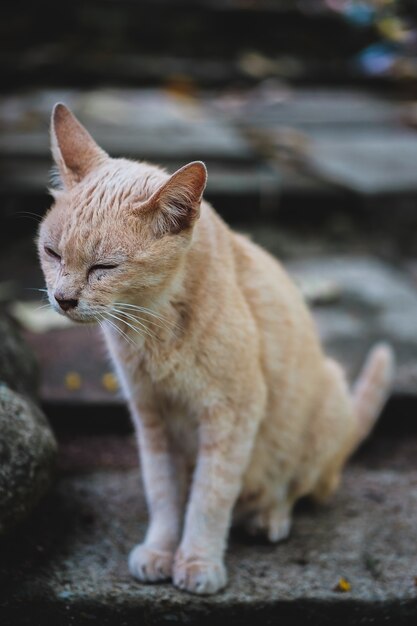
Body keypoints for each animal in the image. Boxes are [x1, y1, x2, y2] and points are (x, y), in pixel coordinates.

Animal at [38, 103, 394, 596]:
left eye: (103, 267)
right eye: (52, 253)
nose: (63, 298)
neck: (153, 326)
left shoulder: (233, 412)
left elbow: (209, 497)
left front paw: (197, 561)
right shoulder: (152, 417)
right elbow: (164, 494)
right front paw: (161, 551)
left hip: (324, 409)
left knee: (290, 488)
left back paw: (268, 517)